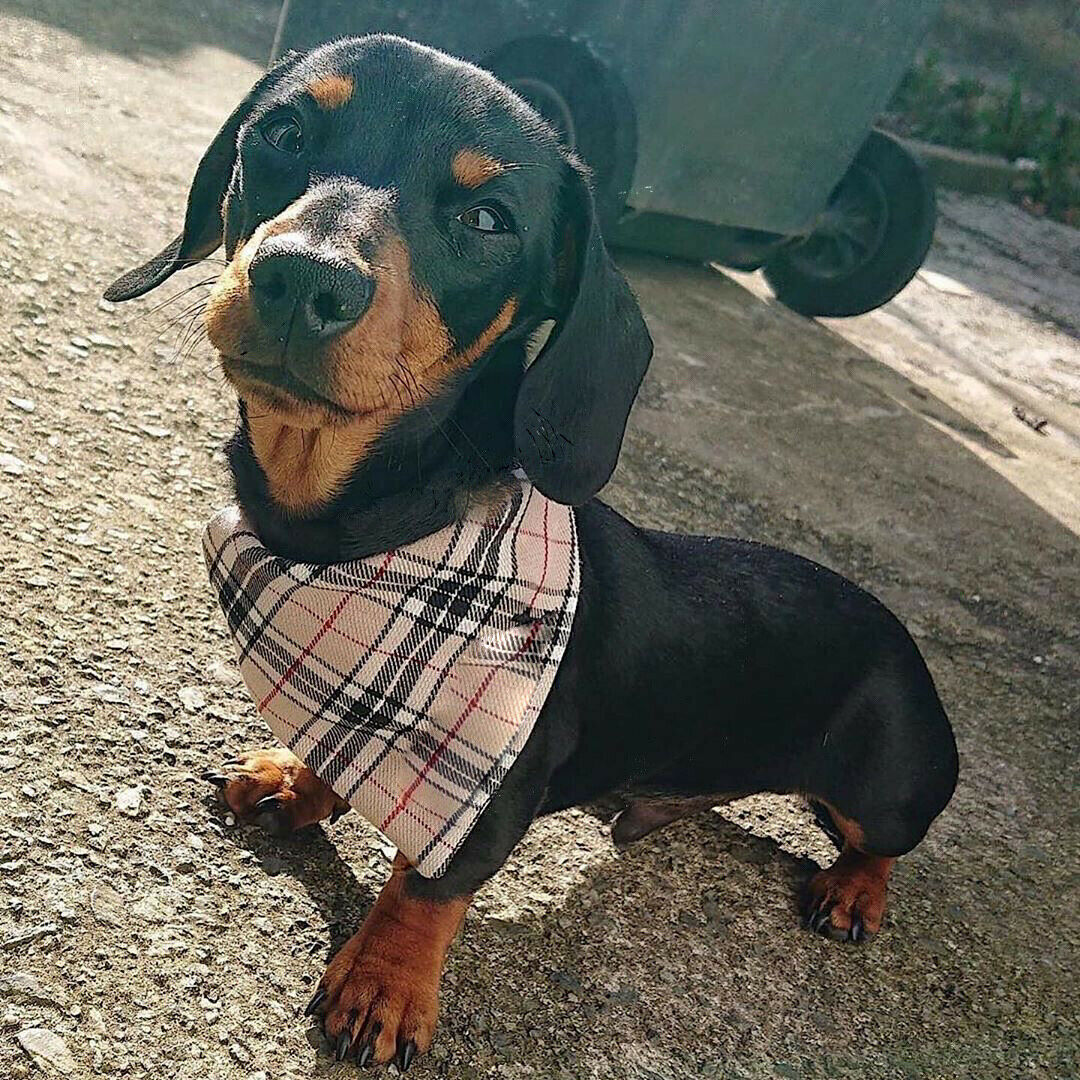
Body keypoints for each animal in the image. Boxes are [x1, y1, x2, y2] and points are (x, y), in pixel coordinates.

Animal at [105, 33, 959, 1071]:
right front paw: (300, 782)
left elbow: (427, 886)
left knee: (881, 840)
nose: (303, 280)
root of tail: (901, 637)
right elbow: (341, 756)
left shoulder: (491, 787)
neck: (364, 533)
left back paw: (855, 890)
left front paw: (385, 986)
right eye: (285, 133)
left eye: (488, 217)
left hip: (891, 785)